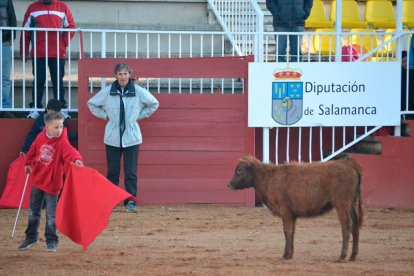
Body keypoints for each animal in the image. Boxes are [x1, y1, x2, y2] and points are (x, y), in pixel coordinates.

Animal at [228, 155, 364, 260]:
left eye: (239, 170)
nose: (229, 185)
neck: (268, 177)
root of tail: (348, 163)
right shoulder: (292, 215)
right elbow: (292, 233)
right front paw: (290, 254)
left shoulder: (285, 212)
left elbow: (287, 231)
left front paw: (285, 255)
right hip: (351, 204)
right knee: (356, 226)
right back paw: (353, 256)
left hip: (342, 205)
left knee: (346, 226)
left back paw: (342, 256)